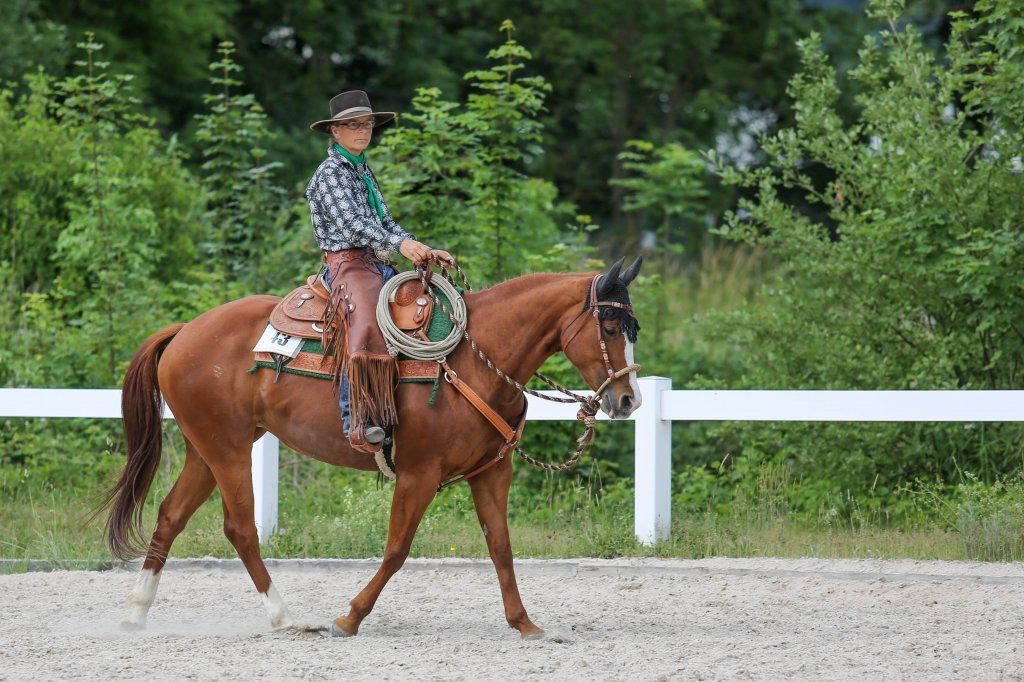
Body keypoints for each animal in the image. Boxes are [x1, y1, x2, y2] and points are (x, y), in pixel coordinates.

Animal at [103, 255, 643, 638]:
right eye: (610, 327)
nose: (628, 399)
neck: (475, 359)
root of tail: (184, 332)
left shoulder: (492, 472)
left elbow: (502, 548)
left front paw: (524, 623)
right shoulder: (419, 474)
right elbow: (397, 549)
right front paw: (350, 618)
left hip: (206, 450)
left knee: (170, 516)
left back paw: (135, 613)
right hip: (228, 450)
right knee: (239, 529)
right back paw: (284, 617)